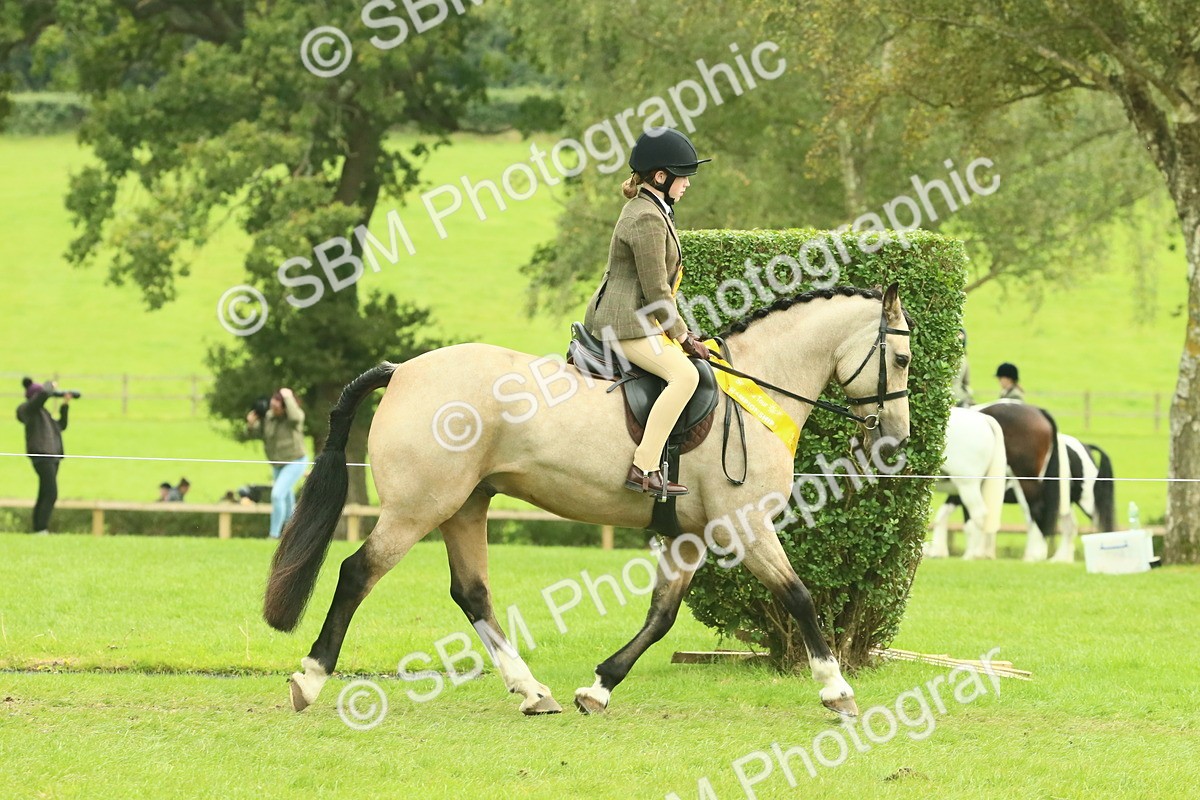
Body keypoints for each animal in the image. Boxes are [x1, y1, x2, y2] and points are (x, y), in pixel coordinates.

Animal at [262, 285, 914, 720]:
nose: (894, 440)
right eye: (903, 359)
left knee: (472, 594)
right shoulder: (745, 524)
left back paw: (533, 693)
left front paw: (598, 687)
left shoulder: (690, 536)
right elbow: (799, 598)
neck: (756, 392)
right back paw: (310, 681)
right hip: (419, 507)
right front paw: (837, 692)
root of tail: (402, 371)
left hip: (466, 506)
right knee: (358, 573)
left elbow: (661, 615)